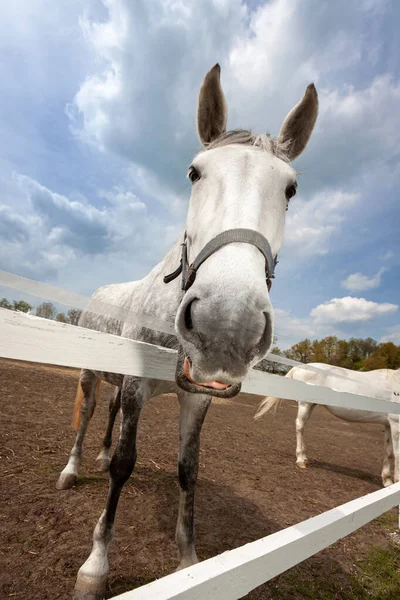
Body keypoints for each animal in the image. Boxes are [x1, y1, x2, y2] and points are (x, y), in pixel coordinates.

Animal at [57, 63, 318, 596]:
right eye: (194, 172)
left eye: (290, 189)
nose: (228, 324)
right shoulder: (136, 385)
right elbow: (126, 464)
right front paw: (95, 566)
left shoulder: (195, 398)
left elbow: (188, 470)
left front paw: (187, 562)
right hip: (91, 374)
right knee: (90, 414)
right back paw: (73, 469)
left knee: (106, 417)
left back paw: (95, 457)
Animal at [256, 364, 400, 490]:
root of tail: (298, 367)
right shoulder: (396, 423)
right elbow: (397, 454)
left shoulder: (388, 424)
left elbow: (388, 452)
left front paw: (387, 481)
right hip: (305, 404)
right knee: (299, 426)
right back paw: (300, 459)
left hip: (311, 405)